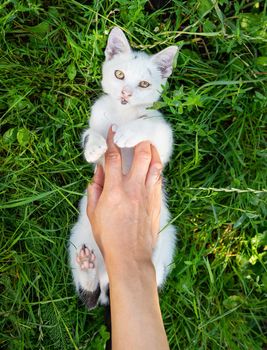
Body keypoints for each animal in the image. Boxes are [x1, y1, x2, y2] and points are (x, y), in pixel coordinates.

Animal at [68, 28, 178, 308]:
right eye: (119, 75)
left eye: (144, 84)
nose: (126, 93)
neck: (122, 113)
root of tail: (110, 282)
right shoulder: (96, 118)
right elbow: (89, 134)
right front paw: (95, 146)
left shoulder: (162, 142)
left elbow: (153, 127)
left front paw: (129, 133)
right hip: (78, 235)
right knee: (90, 298)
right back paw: (87, 270)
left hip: (167, 237)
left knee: (153, 280)